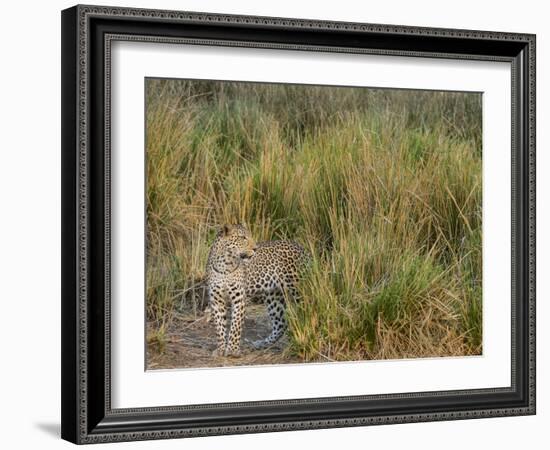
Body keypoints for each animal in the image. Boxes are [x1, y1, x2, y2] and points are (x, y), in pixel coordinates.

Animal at [207, 223, 310, 356]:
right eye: (243, 238)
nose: (255, 248)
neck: (225, 264)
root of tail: (302, 248)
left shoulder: (239, 298)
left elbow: (235, 326)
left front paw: (233, 350)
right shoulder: (216, 300)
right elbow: (219, 327)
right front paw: (220, 349)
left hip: (299, 289)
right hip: (273, 295)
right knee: (281, 323)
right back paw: (261, 344)